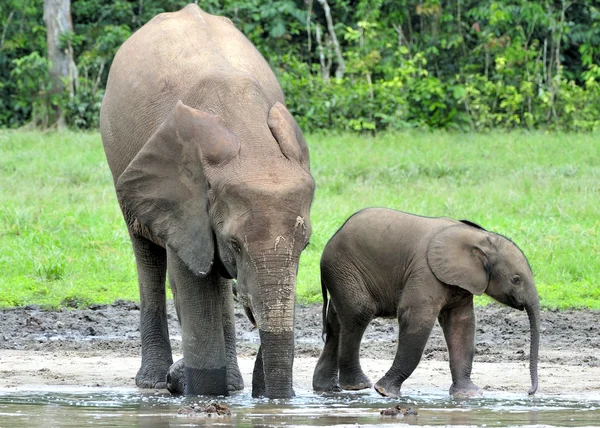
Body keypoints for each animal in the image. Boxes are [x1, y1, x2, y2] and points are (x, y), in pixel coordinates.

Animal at [99, 4, 314, 398]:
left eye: (305, 246)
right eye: (235, 244)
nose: (277, 398)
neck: (252, 142)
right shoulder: (181, 201)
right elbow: (192, 282)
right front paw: (200, 392)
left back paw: (229, 384)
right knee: (148, 257)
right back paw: (156, 382)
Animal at [312, 207, 540, 398]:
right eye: (516, 279)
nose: (529, 393)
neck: (481, 237)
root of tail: (334, 236)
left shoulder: (461, 283)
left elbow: (461, 325)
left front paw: (469, 395)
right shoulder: (425, 271)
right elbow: (416, 318)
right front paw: (386, 392)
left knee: (337, 321)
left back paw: (327, 389)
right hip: (344, 268)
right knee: (359, 312)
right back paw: (358, 386)